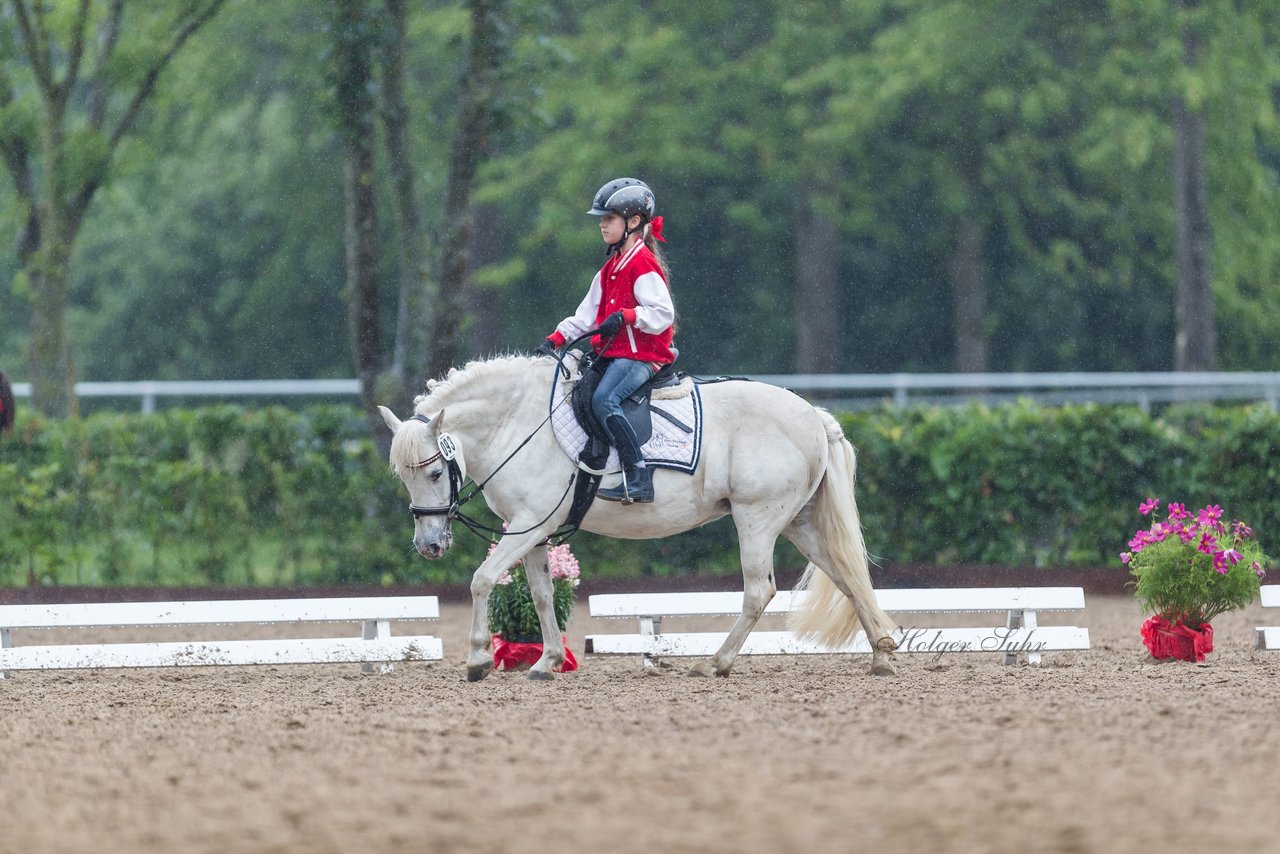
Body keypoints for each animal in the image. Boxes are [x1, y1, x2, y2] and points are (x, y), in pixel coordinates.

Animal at [378, 353, 896, 681]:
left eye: (435, 471)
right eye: (402, 477)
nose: (429, 545)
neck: (517, 423)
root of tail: (812, 415)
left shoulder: (531, 524)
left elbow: (482, 580)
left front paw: (478, 659)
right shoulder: (533, 530)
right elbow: (542, 596)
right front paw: (546, 663)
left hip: (758, 519)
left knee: (759, 591)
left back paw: (715, 663)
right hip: (798, 522)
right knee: (849, 576)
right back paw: (882, 655)